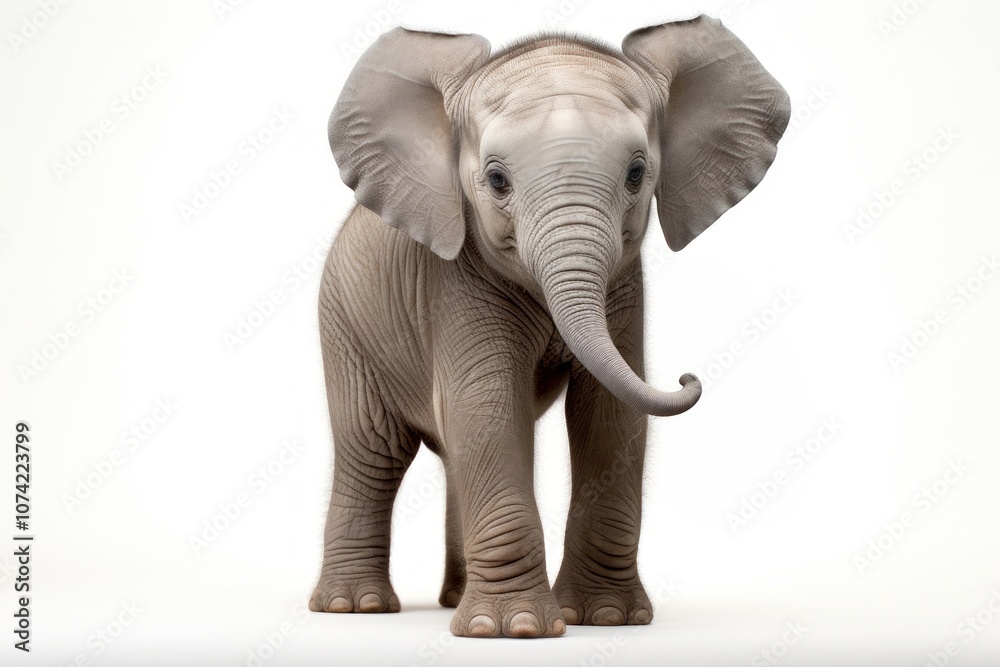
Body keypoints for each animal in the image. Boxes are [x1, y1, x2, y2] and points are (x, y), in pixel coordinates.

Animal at [309, 15, 790, 638]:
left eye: (637, 173)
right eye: (496, 180)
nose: (688, 378)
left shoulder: (623, 286)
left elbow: (609, 415)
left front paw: (605, 618)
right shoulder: (454, 278)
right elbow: (486, 406)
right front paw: (512, 629)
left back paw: (450, 599)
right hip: (344, 321)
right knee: (373, 450)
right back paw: (356, 607)